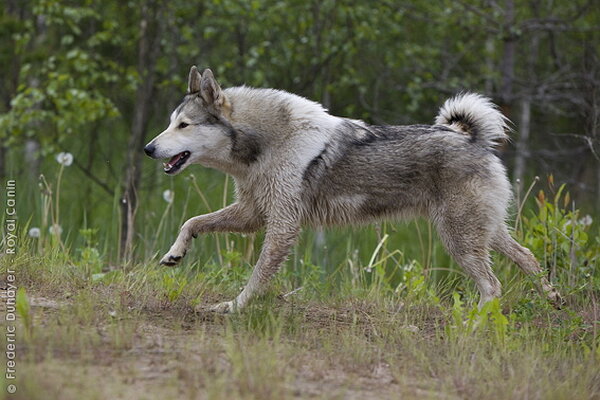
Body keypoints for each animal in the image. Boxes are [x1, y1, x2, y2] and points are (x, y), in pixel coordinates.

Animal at [145, 65, 564, 312]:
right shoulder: (252, 216)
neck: (264, 143)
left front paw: (233, 307)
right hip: (485, 234)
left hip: (460, 239)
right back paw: (554, 299)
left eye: (183, 125)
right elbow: (192, 222)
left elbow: (257, 277)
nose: (148, 148)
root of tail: (471, 137)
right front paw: (175, 254)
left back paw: (473, 323)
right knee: (528, 258)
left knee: (493, 287)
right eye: (170, 122)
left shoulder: (280, 227)